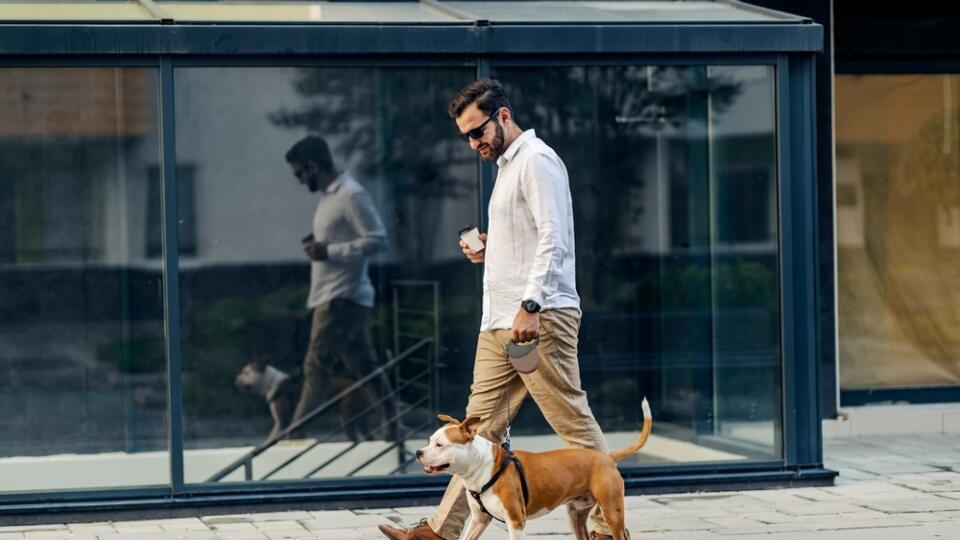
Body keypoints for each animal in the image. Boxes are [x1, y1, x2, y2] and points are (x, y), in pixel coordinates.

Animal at [418, 398, 652, 536]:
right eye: (429, 440)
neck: (481, 468)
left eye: (440, 445)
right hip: (576, 514)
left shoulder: (515, 521)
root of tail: (607, 458)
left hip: (612, 512)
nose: (419, 452)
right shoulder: (478, 520)